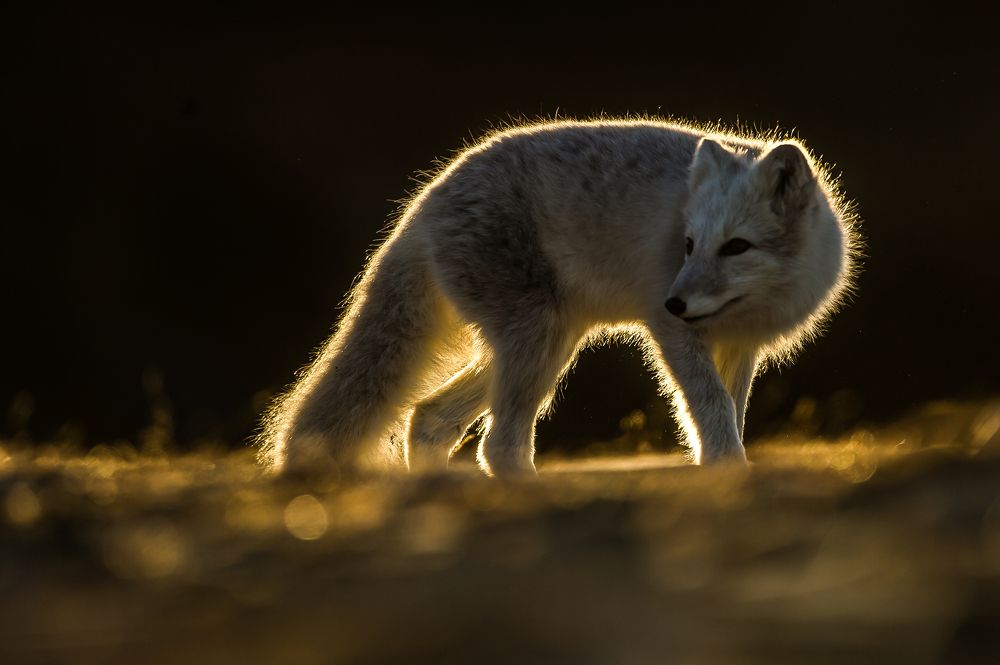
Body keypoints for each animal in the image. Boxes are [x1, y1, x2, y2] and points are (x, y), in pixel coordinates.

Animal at [258, 118, 859, 477]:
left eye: (737, 247)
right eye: (688, 245)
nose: (675, 302)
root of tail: (425, 200)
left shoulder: (739, 347)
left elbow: (729, 409)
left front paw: (725, 468)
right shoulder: (673, 334)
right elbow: (711, 407)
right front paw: (727, 471)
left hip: (548, 344)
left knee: (427, 418)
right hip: (539, 342)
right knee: (496, 444)